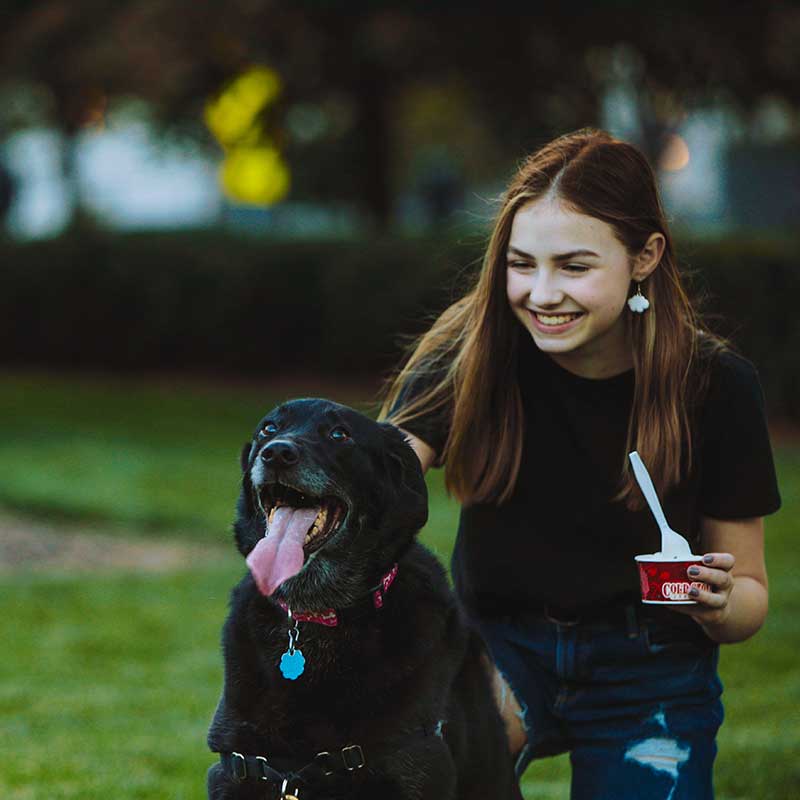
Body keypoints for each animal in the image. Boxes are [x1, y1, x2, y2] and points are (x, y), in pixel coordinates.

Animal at [206, 400, 520, 800]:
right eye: (268, 428)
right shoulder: (237, 769)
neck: (317, 613)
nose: (276, 452)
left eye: (339, 434)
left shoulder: (417, 769)